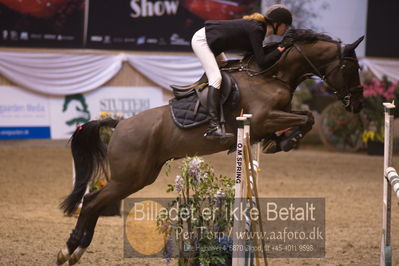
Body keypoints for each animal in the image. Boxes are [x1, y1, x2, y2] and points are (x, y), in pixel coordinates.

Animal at [56, 29, 366, 264]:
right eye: (351, 67)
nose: (358, 104)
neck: (271, 75)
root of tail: (119, 124)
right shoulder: (262, 117)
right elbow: (307, 117)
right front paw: (286, 141)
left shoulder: (265, 121)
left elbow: (305, 117)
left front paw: (280, 142)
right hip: (129, 177)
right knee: (92, 202)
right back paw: (69, 249)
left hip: (141, 176)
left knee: (94, 203)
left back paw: (76, 251)